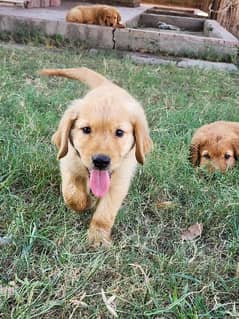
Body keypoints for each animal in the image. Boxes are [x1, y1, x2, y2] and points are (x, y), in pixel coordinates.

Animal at [39, 67, 151, 248]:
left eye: (119, 132)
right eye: (86, 129)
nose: (101, 161)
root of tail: (108, 85)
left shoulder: (119, 181)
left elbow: (105, 212)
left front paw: (98, 236)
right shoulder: (68, 163)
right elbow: (72, 194)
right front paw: (86, 202)